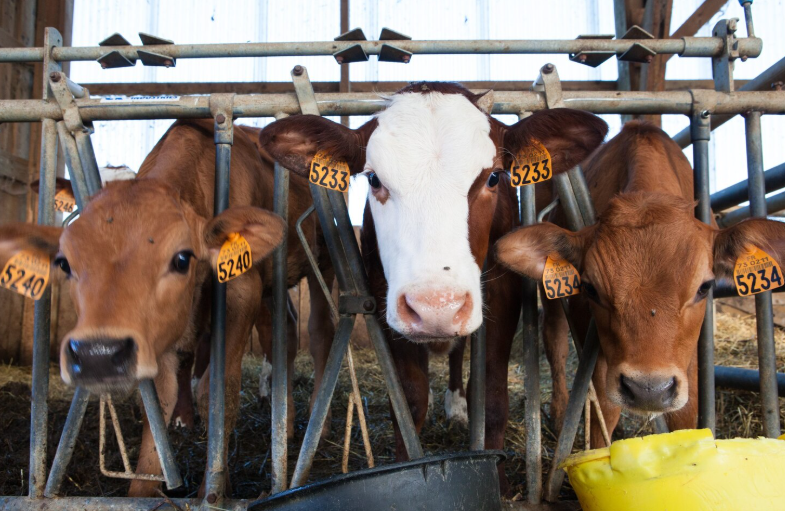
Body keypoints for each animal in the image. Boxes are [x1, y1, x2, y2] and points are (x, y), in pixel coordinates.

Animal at [0, 119, 339, 497]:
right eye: (64, 263)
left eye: (181, 259)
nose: (97, 355)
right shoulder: (157, 330)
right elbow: (159, 400)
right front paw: (144, 489)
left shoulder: (241, 291)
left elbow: (218, 391)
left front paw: (214, 488)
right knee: (283, 334)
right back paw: (287, 424)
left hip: (323, 258)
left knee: (320, 333)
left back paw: (318, 426)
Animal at [259, 81, 608, 492]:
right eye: (373, 179)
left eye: (493, 177)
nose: (436, 307)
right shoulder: (385, 298)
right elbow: (409, 403)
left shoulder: (503, 299)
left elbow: (492, 397)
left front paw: (500, 484)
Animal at [496, 121, 785, 447]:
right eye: (591, 288)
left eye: (705, 287)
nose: (649, 390)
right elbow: (604, 415)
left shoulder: (689, 352)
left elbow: (685, 413)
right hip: (553, 296)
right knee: (555, 340)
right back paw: (559, 416)